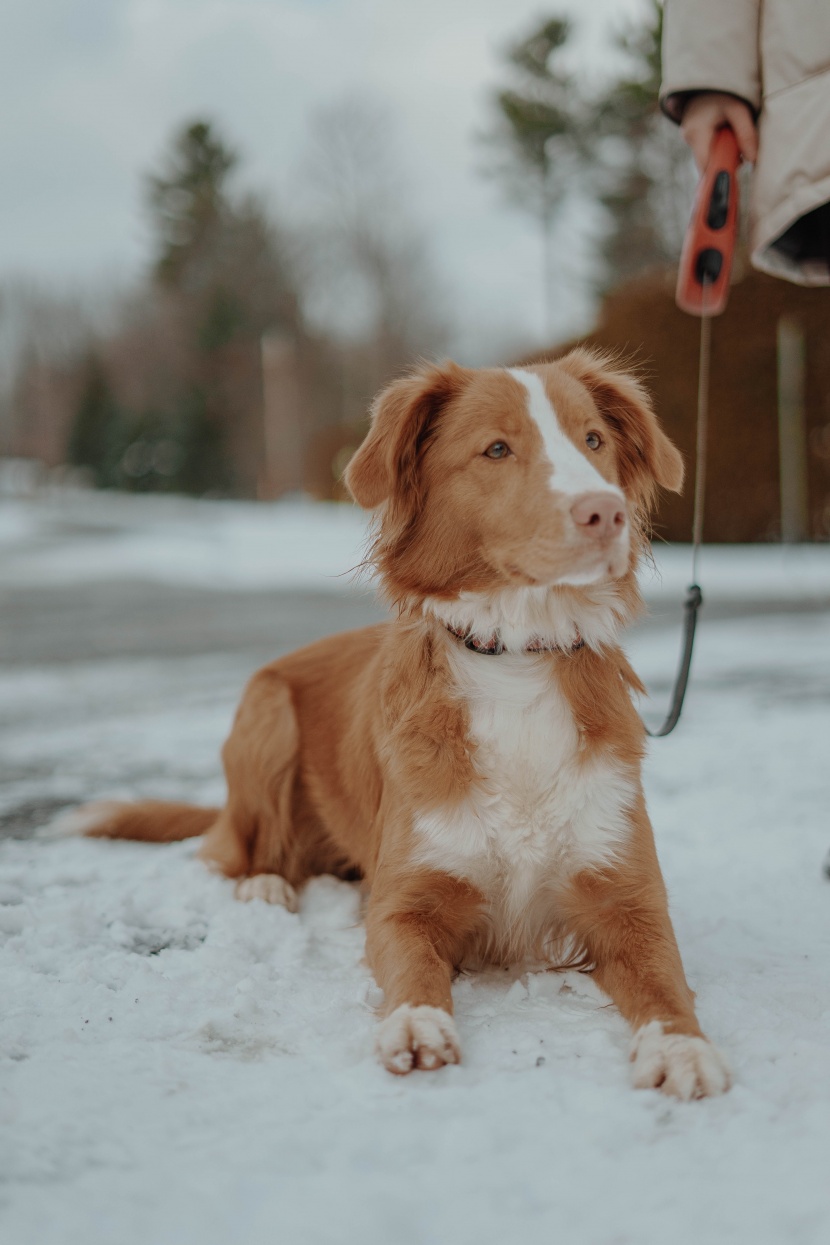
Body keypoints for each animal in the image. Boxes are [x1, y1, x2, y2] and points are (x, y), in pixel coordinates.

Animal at [73, 351, 731, 1100]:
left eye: (593, 440)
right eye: (496, 449)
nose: (606, 511)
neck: (515, 658)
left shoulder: (629, 898)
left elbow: (666, 983)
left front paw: (681, 1047)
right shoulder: (404, 901)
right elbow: (413, 965)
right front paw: (417, 1023)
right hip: (267, 713)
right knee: (234, 851)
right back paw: (267, 885)